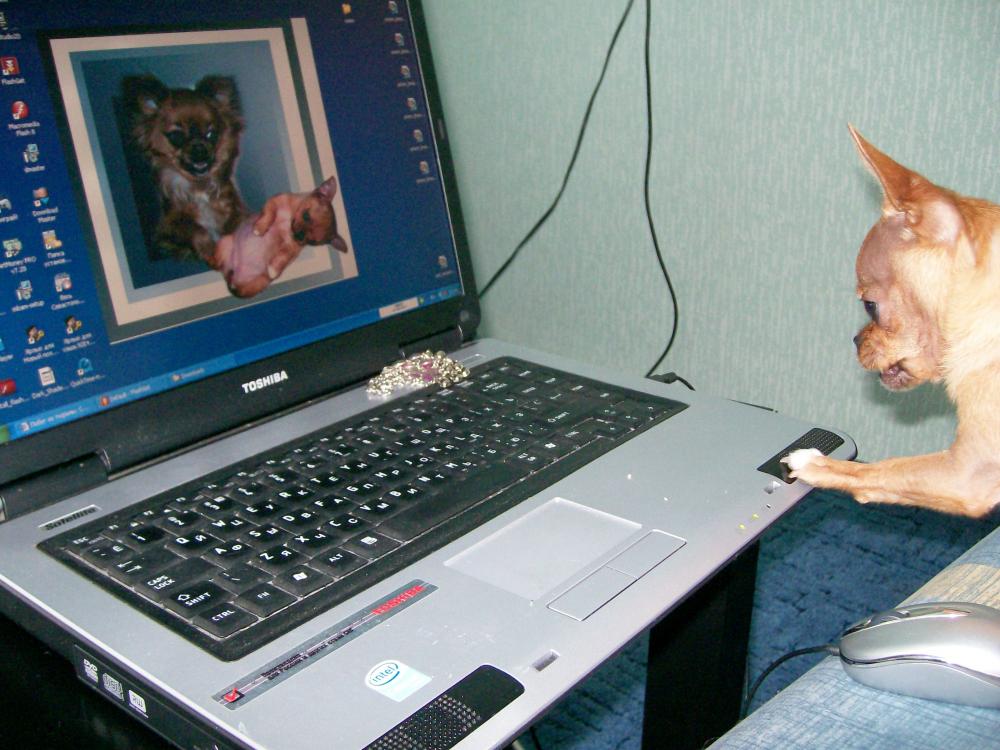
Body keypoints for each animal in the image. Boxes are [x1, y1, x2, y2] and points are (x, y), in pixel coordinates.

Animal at [123, 74, 247, 263]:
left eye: (211, 134)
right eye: (176, 136)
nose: (199, 148)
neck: (198, 187)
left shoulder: (237, 210)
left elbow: (234, 225)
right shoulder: (166, 228)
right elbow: (192, 228)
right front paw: (208, 248)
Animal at [212, 176, 348, 297]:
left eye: (312, 241)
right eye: (306, 216)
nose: (299, 235)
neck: (288, 220)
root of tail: (232, 271)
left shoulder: (291, 247)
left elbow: (284, 255)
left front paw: (274, 269)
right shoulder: (274, 202)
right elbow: (269, 214)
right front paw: (260, 228)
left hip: (259, 283)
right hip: (224, 242)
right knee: (216, 263)